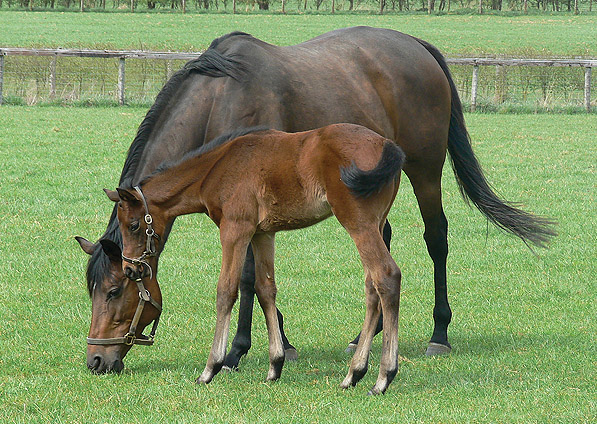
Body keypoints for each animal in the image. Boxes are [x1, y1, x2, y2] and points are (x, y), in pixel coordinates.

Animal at [106, 124, 406, 396]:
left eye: (133, 225)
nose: (130, 268)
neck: (217, 167)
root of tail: (386, 145)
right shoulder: (263, 234)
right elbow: (265, 289)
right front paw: (275, 366)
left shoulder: (235, 229)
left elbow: (226, 291)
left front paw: (211, 368)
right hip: (376, 222)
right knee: (371, 287)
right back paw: (353, 374)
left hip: (358, 222)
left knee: (386, 275)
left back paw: (383, 378)